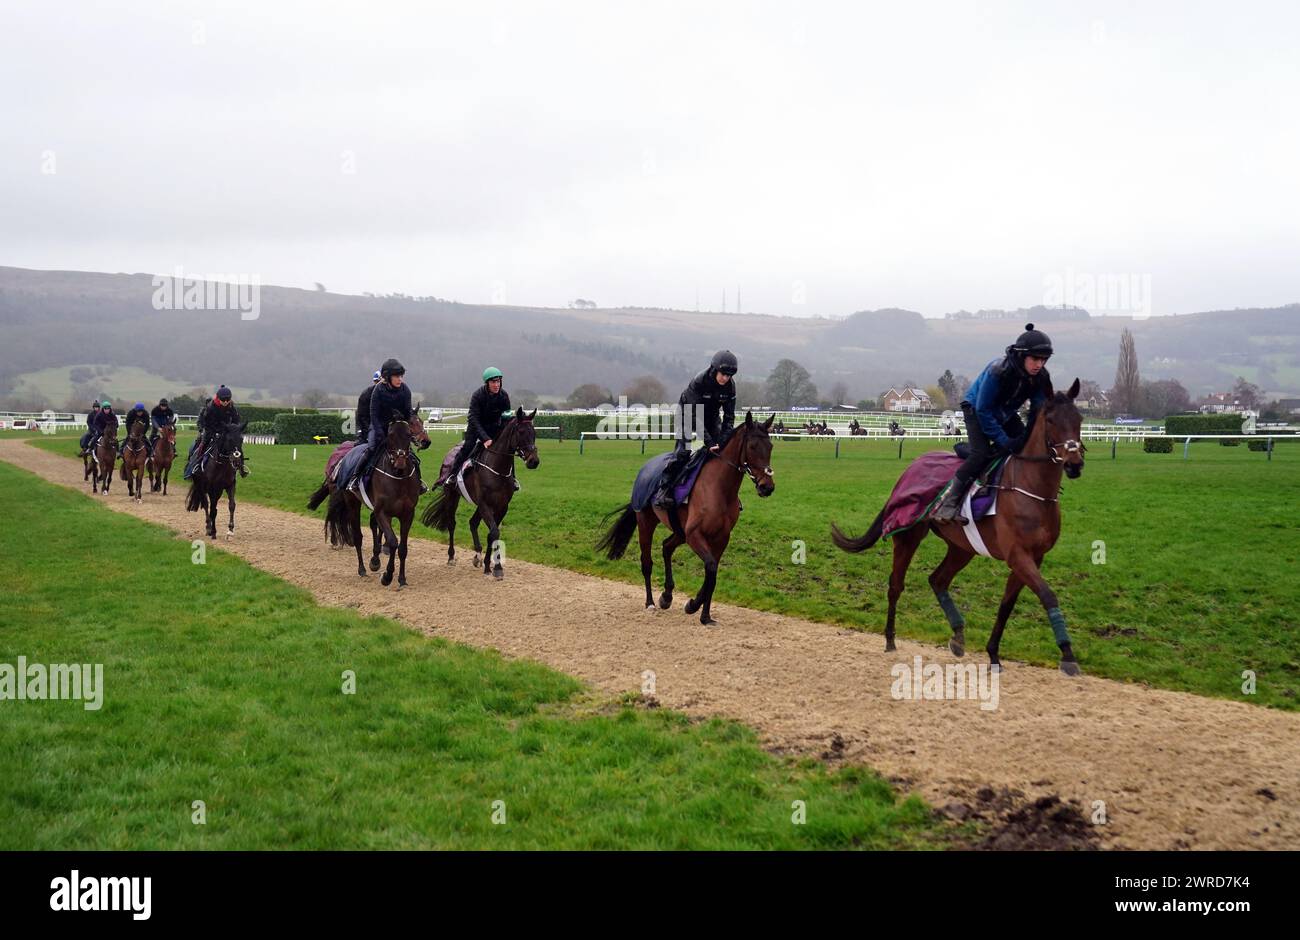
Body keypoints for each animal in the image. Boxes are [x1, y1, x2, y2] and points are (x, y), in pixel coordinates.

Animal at [325, 418, 421, 587]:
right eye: (390, 435)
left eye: (409, 435)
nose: (400, 462)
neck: (399, 478)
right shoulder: (382, 512)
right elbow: (393, 542)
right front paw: (387, 576)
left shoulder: (408, 514)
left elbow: (402, 548)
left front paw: (402, 578)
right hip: (352, 502)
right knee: (357, 536)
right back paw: (362, 569)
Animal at [423, 410, 540, 579]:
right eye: (521, 432)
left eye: (534, 432)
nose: (534, 461)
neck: (497, 468)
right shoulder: (485, 504)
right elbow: (494, 532)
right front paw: (497, 567)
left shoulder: (501, 506)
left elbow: (492, 534)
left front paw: (488, 564)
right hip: (453, 495)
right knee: (452, 524)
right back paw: (451, 556)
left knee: (472, 523)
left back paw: (477, 555)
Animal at [595, 410, 769, 624]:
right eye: (752, 447)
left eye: (770, 446)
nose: (767, 487)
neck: (719, 489)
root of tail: (646, 468)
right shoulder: (695, 535)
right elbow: (711, 568)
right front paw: (694, 606)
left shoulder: (721, 537)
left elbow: (712, 574)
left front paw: (704, 615)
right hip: (646, 521)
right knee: (647, 562)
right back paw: (650, 602)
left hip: (680, 530)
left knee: (666, 547)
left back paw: (666, 596)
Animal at [832, 382, 1086, 676]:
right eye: (1051, 420)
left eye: (1079, 419)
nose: (1074, 463)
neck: (1031, 489)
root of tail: (909, 469)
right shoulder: (1018, 555)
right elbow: (1048, 595)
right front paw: (1067, 654)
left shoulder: (1035, 557)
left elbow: (1007, 605)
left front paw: (993, 654)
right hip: (908, 536)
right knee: (896, 584)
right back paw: (890, 639)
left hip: (962, 546)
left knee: (937, 580)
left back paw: (958, 635)